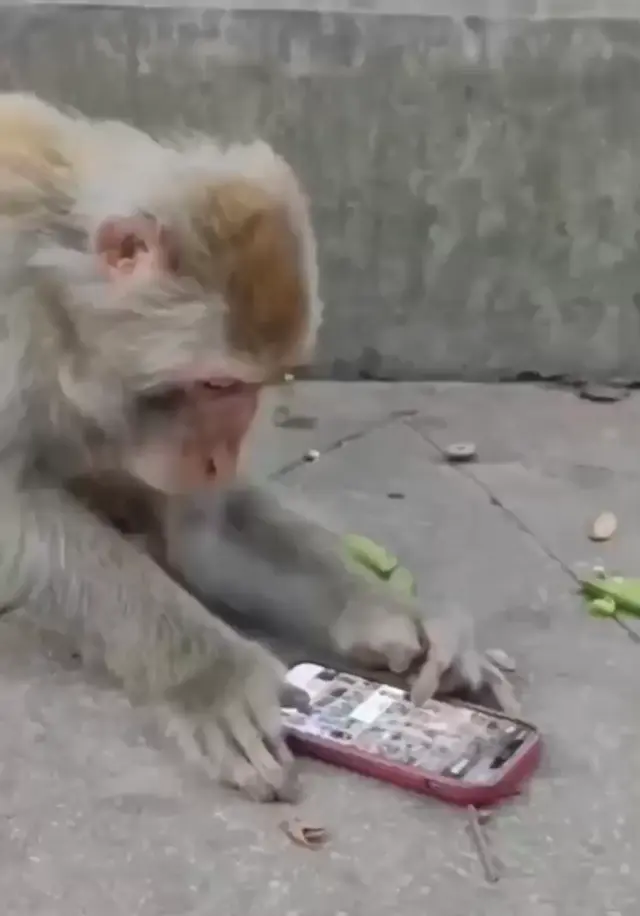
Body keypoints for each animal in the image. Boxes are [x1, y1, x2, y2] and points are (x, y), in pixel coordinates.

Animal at [0, 92, 516, 803]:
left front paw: (400, 617)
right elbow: (11, 502)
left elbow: (207, 534)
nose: (220, 456)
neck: (59, 304)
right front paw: (216, 680)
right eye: (217, 383)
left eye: (251, 389)